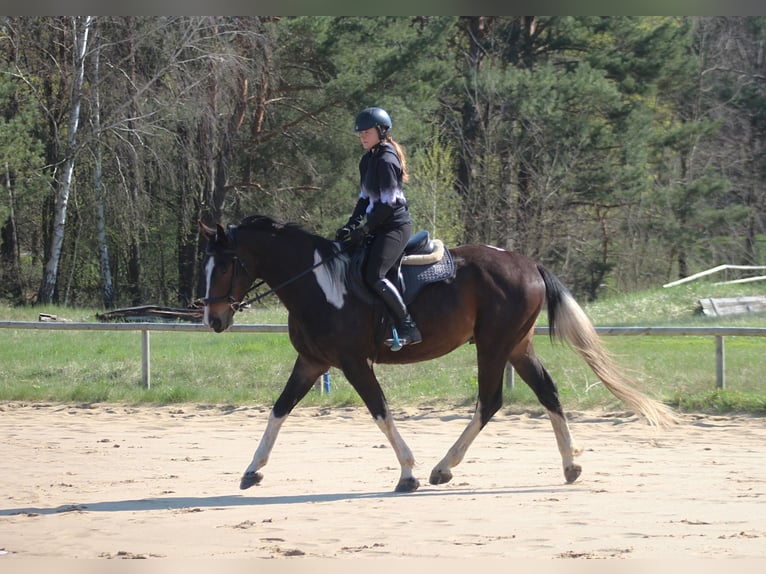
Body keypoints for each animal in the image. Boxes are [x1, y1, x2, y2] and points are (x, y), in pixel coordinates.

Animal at [199, 215, 676, 493]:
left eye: (223, 265)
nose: (214, 319)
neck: (319, 284)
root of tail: (527, 263)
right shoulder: (313, 362)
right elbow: (279, 409)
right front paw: (253, 469)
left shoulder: (353, 363)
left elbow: (380, 411)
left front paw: (408, 472)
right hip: (517, 346)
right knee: (548, 393)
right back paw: (569, 466)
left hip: (494, 346)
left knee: (490, 401)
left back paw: (443, 468)